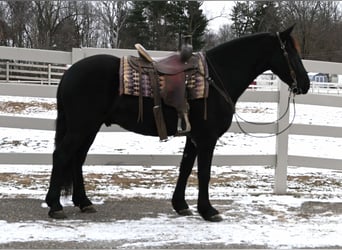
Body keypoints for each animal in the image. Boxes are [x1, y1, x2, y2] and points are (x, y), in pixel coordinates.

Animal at [44, 24, 310, 221]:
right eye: (291, 53)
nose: (306, 84)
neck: (216, 77)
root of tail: (69, 73)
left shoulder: (193, 137)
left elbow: (185, 168)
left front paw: (181, 205)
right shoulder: (207, 138)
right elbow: (204, 173)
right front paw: (208, 210)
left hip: (89, 128)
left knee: (77, 159)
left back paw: (83, 202)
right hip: (81, 127)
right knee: (62, 155)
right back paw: (55, 205)